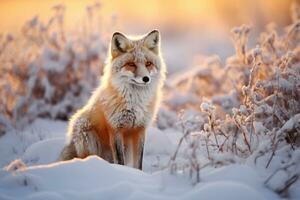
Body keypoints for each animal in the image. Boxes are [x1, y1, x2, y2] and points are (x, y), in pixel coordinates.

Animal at [58, 29, 166, 170]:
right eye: (131, 64)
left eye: (148, 64)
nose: (146, 78)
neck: (135, 103)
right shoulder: (115, 128)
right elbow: (120, 161)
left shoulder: (140, 129)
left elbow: (138, 163)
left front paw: (138, 174)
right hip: (86, 135)